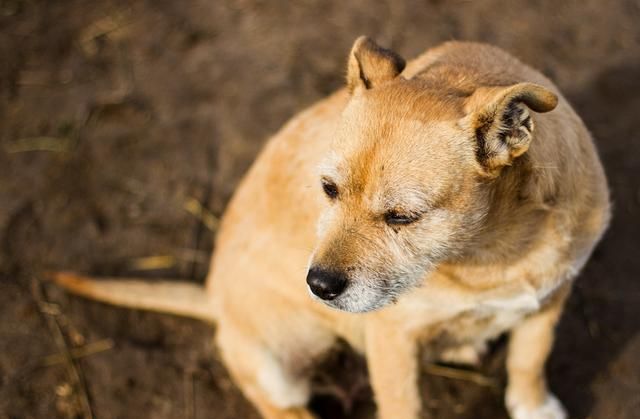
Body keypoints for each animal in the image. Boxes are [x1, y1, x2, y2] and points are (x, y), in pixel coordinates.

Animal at [53, 37, 608, 419]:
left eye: (402, 217)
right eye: (327, 189)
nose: (317, 286)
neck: (492, 251)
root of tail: (213, 299)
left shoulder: (549, 302)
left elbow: (530, 361)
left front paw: (534, 406)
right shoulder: (392, 339)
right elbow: (405, 407)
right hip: (271, 370)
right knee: (284, 410)